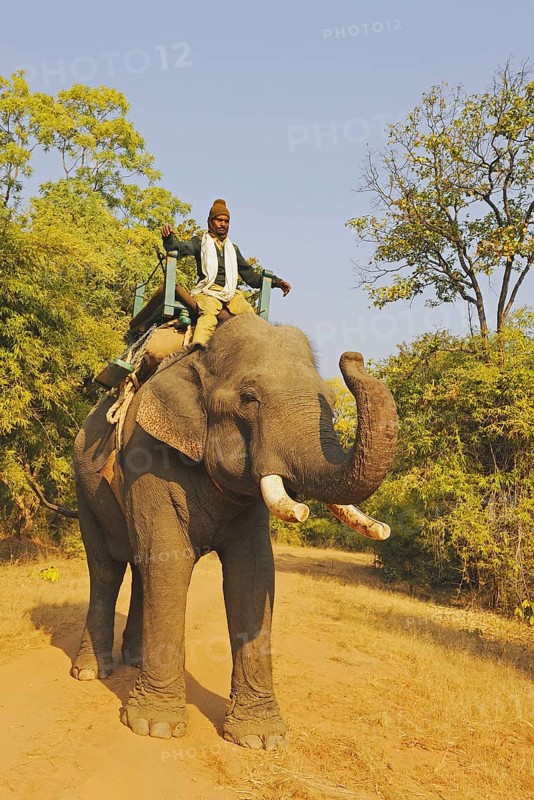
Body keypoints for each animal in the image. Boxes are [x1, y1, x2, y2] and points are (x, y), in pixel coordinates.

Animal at [71, 312, 398, 749]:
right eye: (248, 398)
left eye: (329, 404)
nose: (354, 357)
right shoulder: (146, 457)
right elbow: (170, 561)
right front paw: (155, 728)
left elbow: (253, 572)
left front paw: (261, 740)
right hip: (84, 486)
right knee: (106, 569)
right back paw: (91, 672)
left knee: (140, 568)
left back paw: (135, 662)